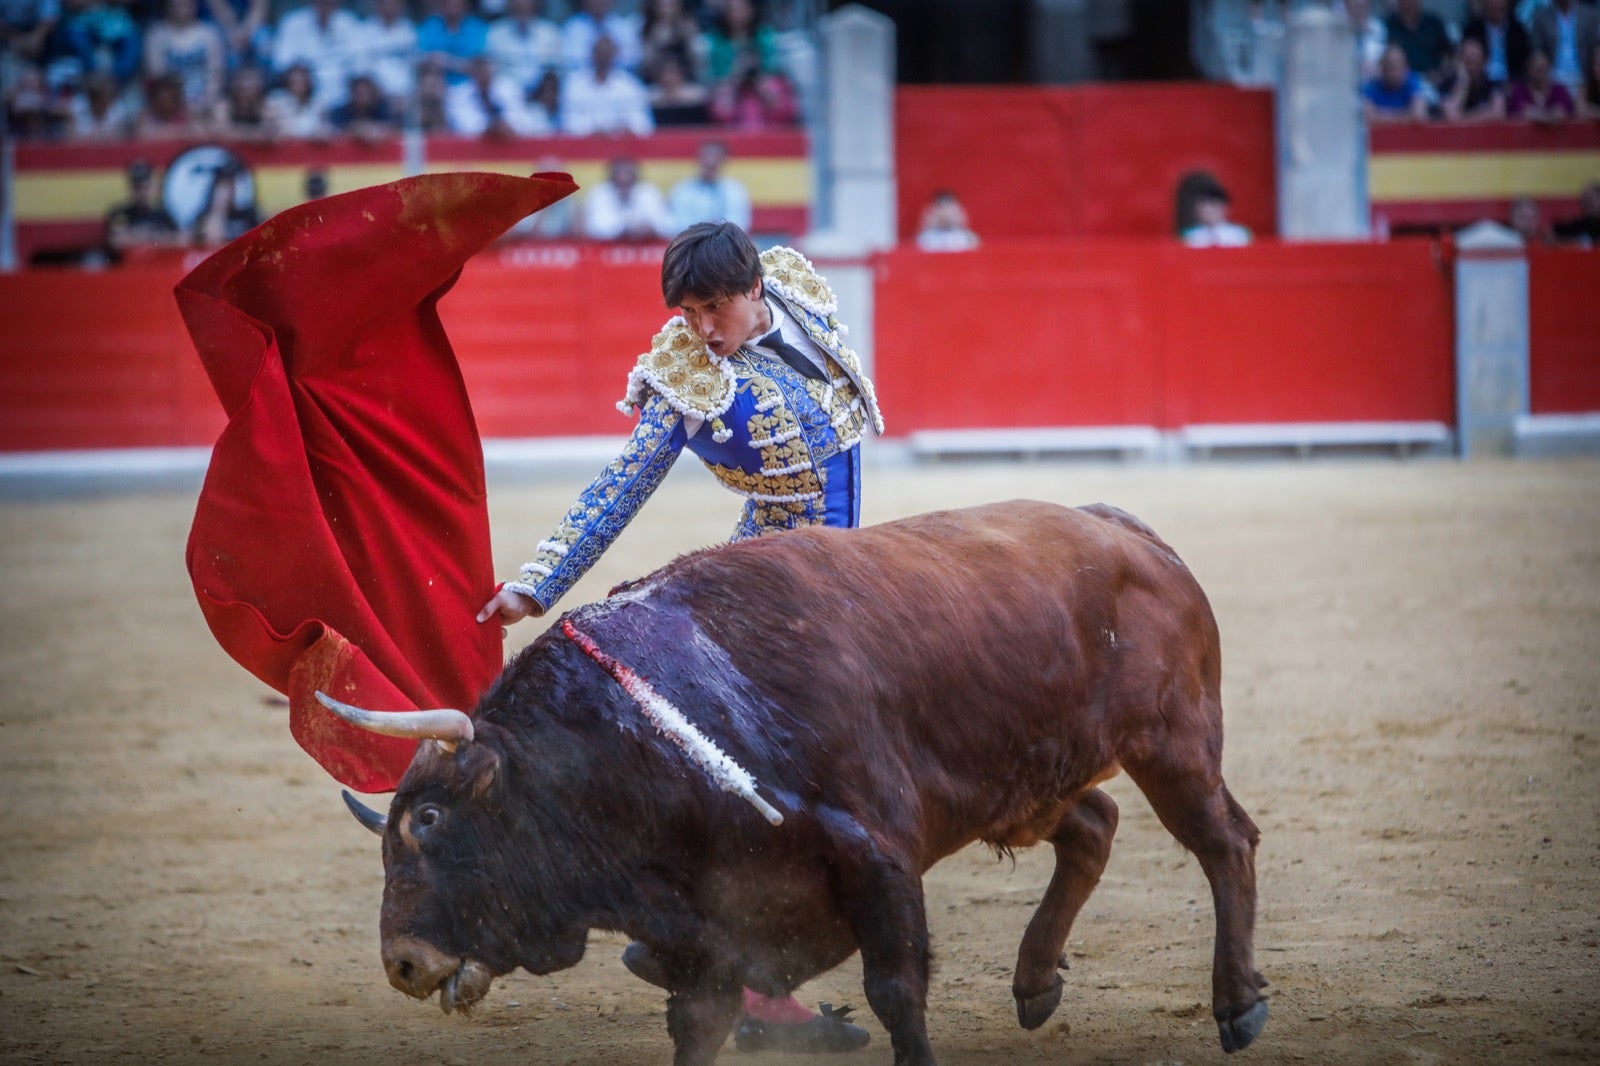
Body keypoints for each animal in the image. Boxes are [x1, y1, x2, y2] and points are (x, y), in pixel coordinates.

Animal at [328, 499, 1273, 1062]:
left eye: (431, 820)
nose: (402, 962)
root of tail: (1126, 530)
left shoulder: (877, 859)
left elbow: (895, 992)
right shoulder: (708, 923)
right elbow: (697, 1022)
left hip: (1175, 743)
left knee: (1226, 841)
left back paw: (1236, 1005)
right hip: (1026, 782)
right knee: (1094, 825)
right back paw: (1036, 983)